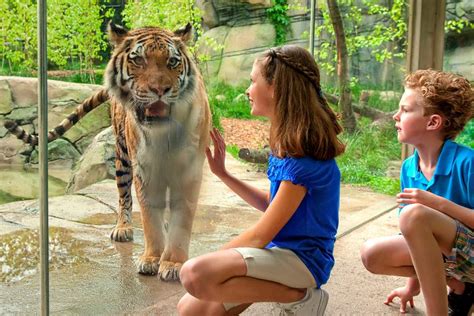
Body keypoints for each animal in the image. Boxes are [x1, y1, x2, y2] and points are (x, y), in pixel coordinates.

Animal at [4, 22, 211, 282]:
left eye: (172, 62)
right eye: (138, 60)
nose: (159, 90)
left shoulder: (189, 170)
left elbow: (182, 219)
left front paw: (173, 263)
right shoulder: (144, 168)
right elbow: (149, 219)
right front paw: (152, 259)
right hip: (122, 159)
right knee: (124, 197)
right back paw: (122, 228)